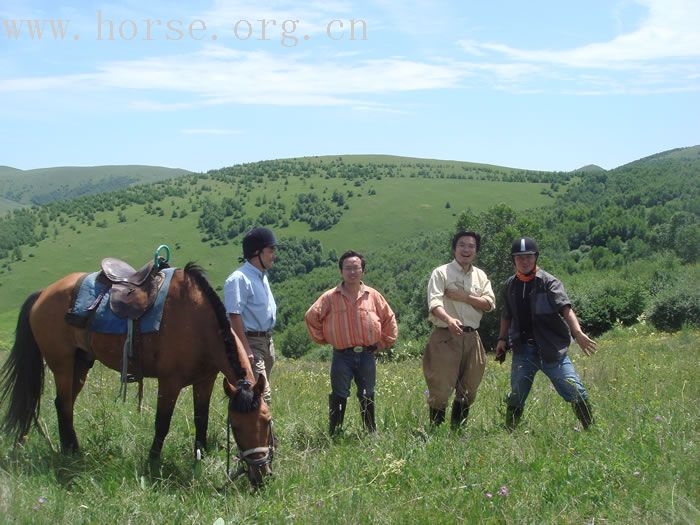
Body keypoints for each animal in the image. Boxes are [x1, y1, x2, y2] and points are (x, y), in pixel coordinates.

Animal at [0, 262, 274, 488]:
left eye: (266, 420)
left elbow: (201, 419)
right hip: (63, 365)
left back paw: (70, 449)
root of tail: (43, 292)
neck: (198, 323)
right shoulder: (170, 382)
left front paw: (201, 455)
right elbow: (162, 423)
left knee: (63, 404)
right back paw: (73, 452)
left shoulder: (205, 380)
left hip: (80, 364)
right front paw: (152, 461)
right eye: (235, 426)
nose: (261, 475)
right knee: (65, 404)